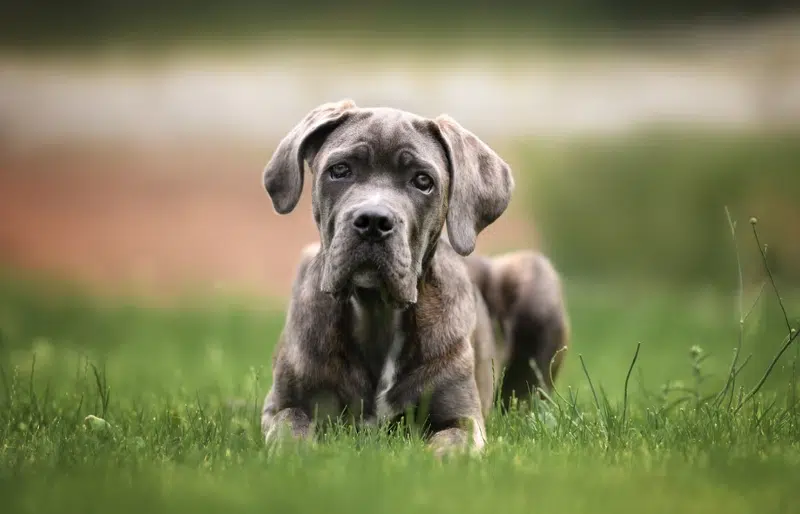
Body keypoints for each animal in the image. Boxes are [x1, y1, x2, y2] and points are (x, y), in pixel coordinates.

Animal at [260, 98, 564, 454]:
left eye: (422, 181)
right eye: (340, 170)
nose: (373, 221)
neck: (377, 313)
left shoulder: (462, 419)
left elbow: (449, 447)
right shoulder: (284, 403)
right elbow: (290, 427)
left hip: (536, 278)